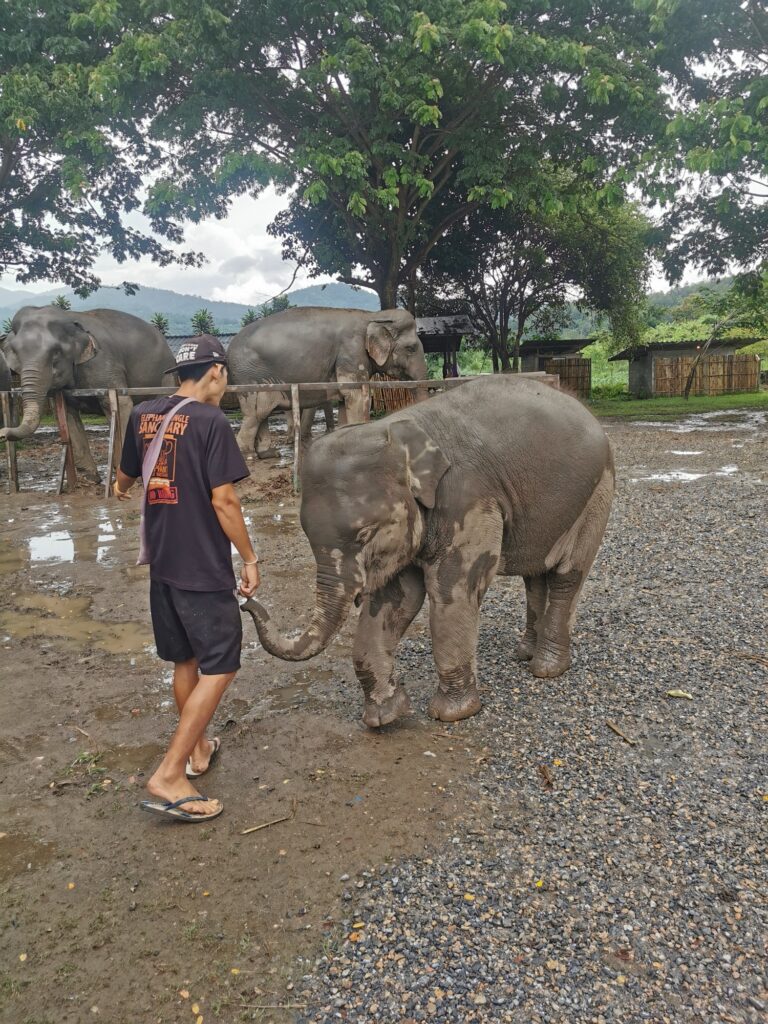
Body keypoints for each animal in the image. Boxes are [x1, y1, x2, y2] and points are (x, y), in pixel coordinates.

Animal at [0, 306, 174, 482]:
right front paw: (90, 479)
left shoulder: (104, 363)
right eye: (16, 353)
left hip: (165, 374)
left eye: (56, 353)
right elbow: (66, 414)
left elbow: (121, 403)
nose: (2, 434)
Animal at [228, 306, 428, 457]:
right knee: (255, 413)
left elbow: (345, 400)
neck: (372, 316)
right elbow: (356, 396)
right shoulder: (351, 352)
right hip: (249, 378)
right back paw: (249, 456)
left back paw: (269, 454)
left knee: (261, 413)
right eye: (411, 348)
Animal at [242, 376, 615, 727]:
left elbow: (452, 592)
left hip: (598, 492)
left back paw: (546, 668)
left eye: (364, 535)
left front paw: (452, 714)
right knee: (534, 577)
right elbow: (396, 598)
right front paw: (385, 718)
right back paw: (523, 653)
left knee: (567, 576)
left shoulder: (468, 499)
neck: (397, 433)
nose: (246, 599)